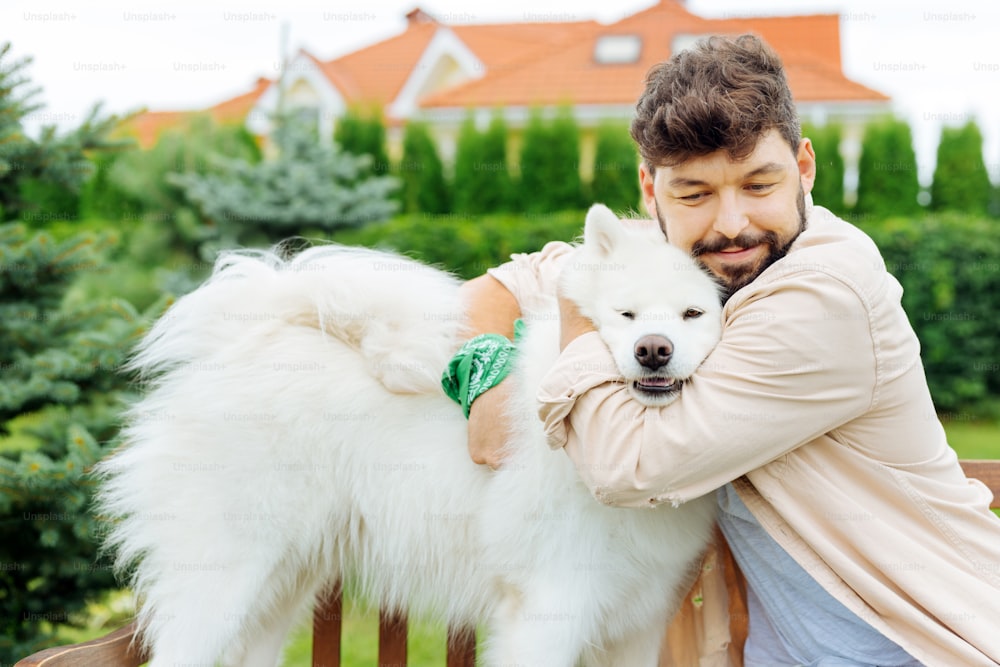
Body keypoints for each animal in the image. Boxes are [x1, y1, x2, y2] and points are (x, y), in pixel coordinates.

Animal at [97, 205, 728, 667]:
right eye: (625, 315)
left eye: (693, 314)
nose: (652, 350)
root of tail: (241, 346)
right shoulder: (548, 607)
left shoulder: (636, 620)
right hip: (225, 576)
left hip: (281, 584)